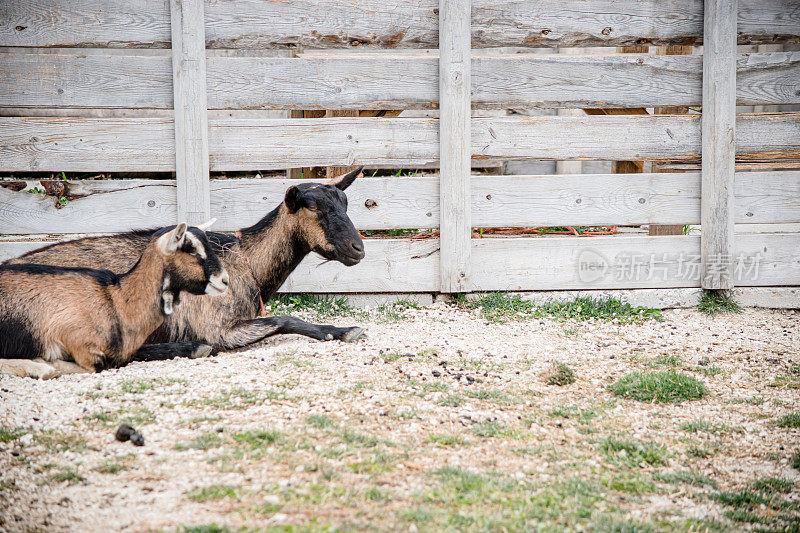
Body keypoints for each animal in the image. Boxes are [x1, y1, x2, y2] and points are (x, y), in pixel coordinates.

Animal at [0, 223, 228, 378]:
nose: (225, 280)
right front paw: (44, 364)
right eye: (190, 249)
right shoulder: (80, 345)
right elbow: (95, 367)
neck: (117, 302)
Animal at [5, 168, 366, 360]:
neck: (244, 258)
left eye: (346, 203)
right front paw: (345, 331)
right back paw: (191, 347)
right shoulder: (218, 327)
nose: (358, 248)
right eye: (314, 208)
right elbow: (286, 319)